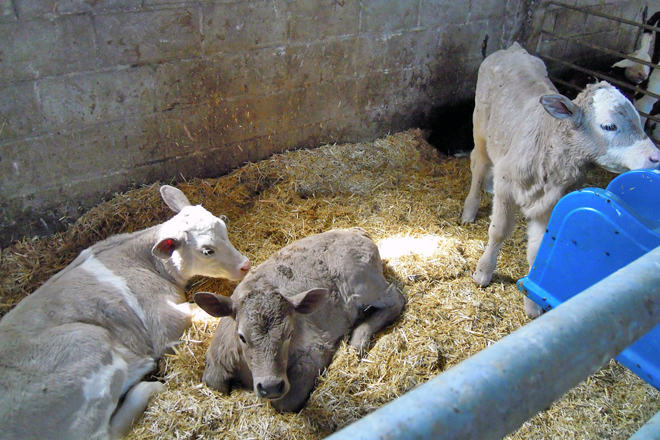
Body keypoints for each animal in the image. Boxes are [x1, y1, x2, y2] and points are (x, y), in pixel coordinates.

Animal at [0, 185, 251, 440]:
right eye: (207, 250)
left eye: (223, 226)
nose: (246, 264)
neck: (145, 260)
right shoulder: (163, 323)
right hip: (88, 348)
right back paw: (148, 384)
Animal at [193, 228, 405, 412]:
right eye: (242, 337)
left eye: (289, 333)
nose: (271, 386)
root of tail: (356, 231)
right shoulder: (218, 358)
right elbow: (213, 382)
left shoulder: (313, 353)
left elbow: (285, 403)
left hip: (363, 282)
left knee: (396, 298)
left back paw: (358, 340)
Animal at [461, 42, 660, 318]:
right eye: (609, 126)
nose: (655, 157)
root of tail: (512, 49)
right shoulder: (506, 187)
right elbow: (498, 231)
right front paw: (483, 271)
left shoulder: (551, 205)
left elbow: (537, 250)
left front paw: (532, 304)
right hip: (480, 124)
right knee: (478, 164)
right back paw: (469, 209)